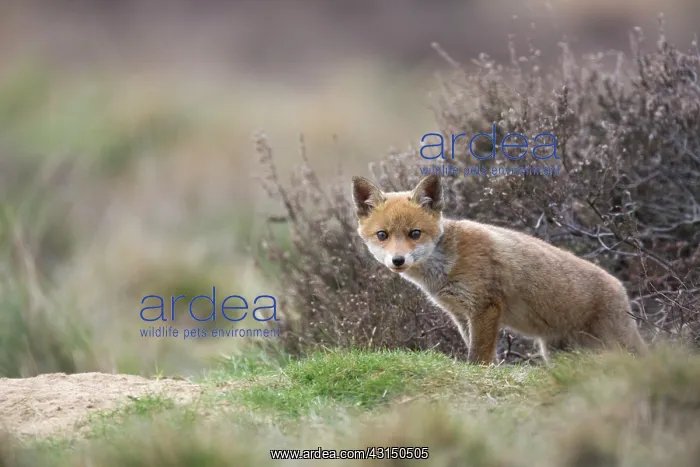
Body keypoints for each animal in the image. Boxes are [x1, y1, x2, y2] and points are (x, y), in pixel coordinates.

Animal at [351, 174, 648, 364]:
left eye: (415, 233)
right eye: (382, 235)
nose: (398, 261)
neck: (446, 267)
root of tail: (622, 289)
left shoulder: (486, 307)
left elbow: (479, 356)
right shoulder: (461, 315)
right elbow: (476, 352)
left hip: (615, 342)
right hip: (556, 351)